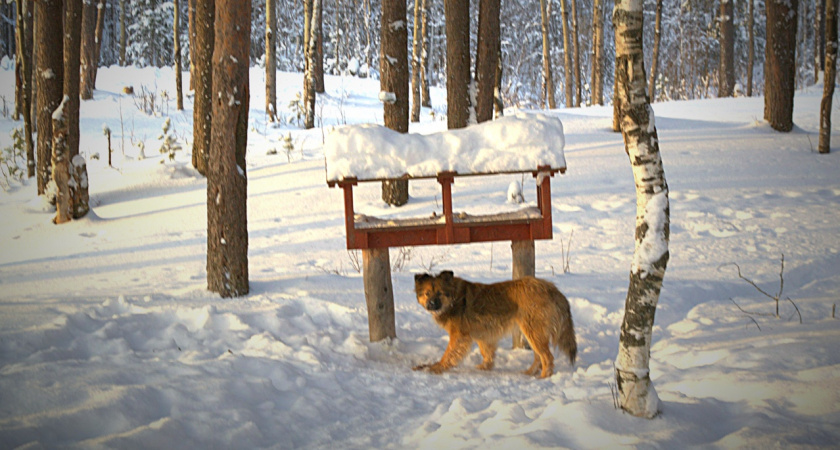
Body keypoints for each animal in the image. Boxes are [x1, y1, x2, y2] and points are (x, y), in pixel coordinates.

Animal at [414, 270, 576, 380]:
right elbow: (486, 352)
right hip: (533, 332)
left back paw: (544, 376)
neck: (454, 299)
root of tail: (552, 289)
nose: (431, 304)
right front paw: (486, 367)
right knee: (539, 356)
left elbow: (449, 354)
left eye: (440, 293)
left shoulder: (459, 336)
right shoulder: (482, 334)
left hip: (533, 330)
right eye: (427, 293)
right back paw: (530, 372)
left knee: (547, 357)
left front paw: (437, 367)